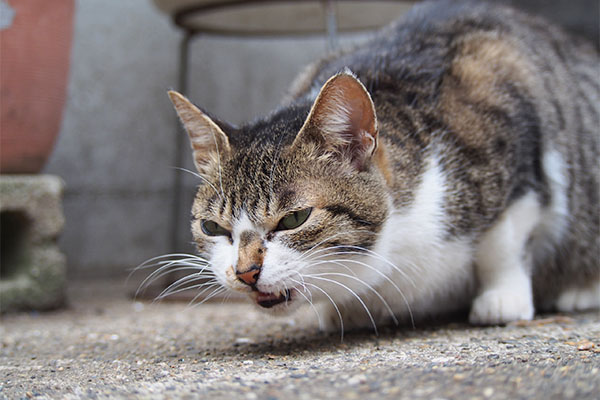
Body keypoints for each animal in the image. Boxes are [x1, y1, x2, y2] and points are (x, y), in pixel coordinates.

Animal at [164, 0, 600, 332]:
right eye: (212, 228)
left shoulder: (511, 115)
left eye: (294, 219)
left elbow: (504, 241)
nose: (244, 272)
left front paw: (502, 298)